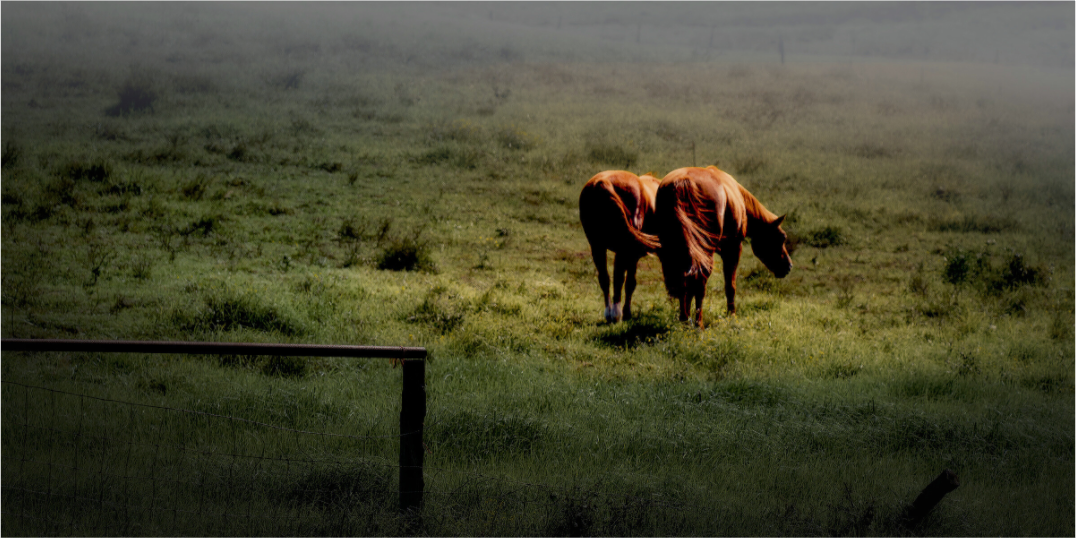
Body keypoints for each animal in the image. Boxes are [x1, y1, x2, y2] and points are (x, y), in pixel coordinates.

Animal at [579, 170, 662, 323]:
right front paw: (627, 312)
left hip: (597, 246)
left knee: (604, 278)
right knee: (619, 279)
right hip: (622, 249)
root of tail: (603, 183)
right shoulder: (632, 254)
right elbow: (630, 283)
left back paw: (609, 312)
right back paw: (616, 313)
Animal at [654, 166, 792, 326]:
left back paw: (684, 319)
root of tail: (683, 182)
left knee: (684, 281)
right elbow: (730, 285)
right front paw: (732, 315)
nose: (789, 266)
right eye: (782, 237)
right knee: (699, 283)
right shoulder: (733, 249)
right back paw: (698, 323)